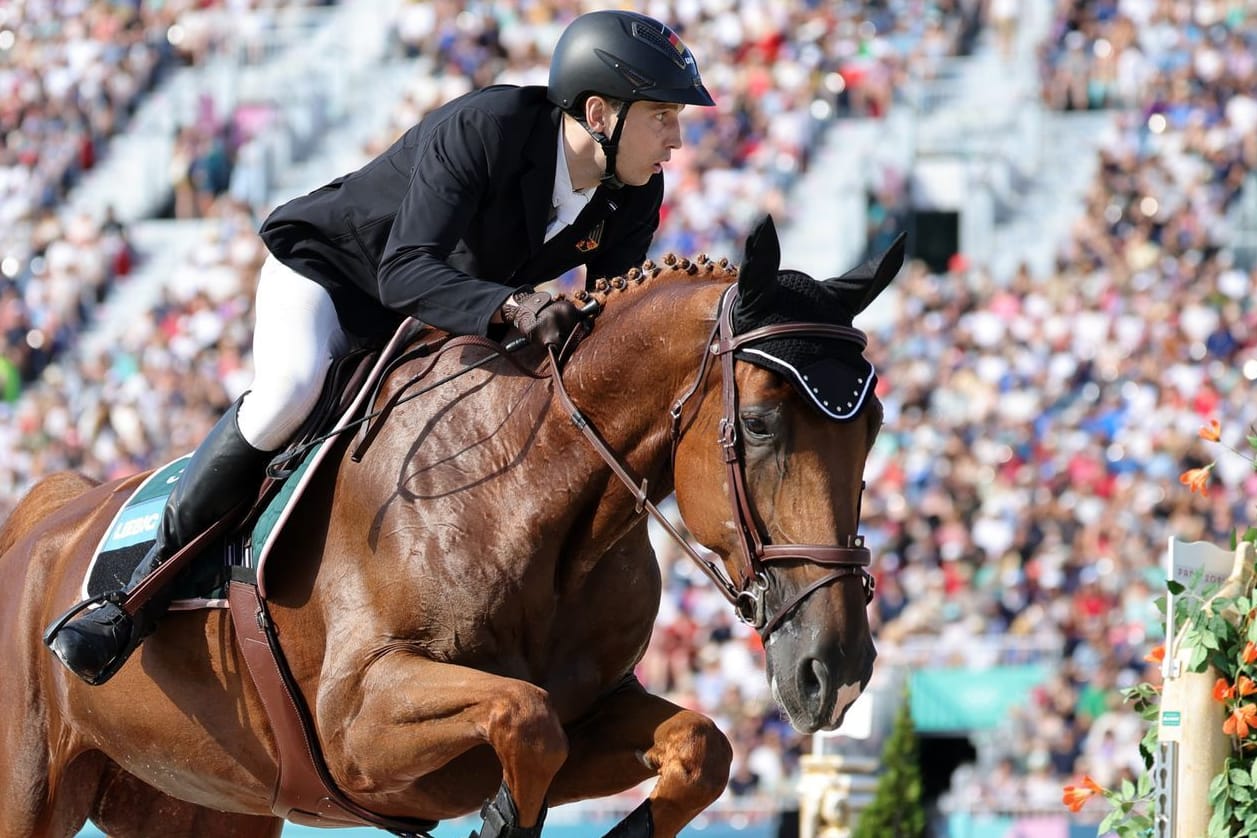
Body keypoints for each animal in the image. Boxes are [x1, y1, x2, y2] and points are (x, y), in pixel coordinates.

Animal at [2, 219, 905, 834]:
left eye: (875, 426)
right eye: (757, 424)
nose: (835, 670)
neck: (534, 504)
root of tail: (40, 521)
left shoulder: (594, 712)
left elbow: (699, 746)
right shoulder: (356, 726)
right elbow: (525, 720)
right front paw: (505, 817)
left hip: (204, 803)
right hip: (33, 790)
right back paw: (97, 628)